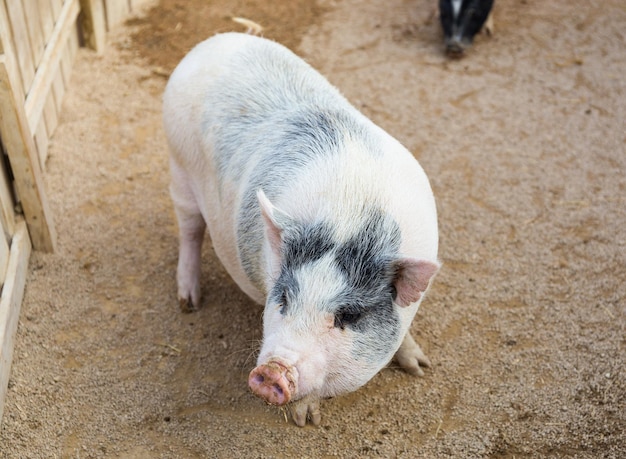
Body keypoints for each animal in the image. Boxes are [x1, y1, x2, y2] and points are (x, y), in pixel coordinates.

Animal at [163, 32, 442, 428]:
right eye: (283, 298)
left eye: (348, 316)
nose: (272, 372)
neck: (351, 216)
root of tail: (214, 41)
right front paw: (305, 421)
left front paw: (420, 367)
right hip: (178, 168)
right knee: (190, 230)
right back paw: (189, 303)